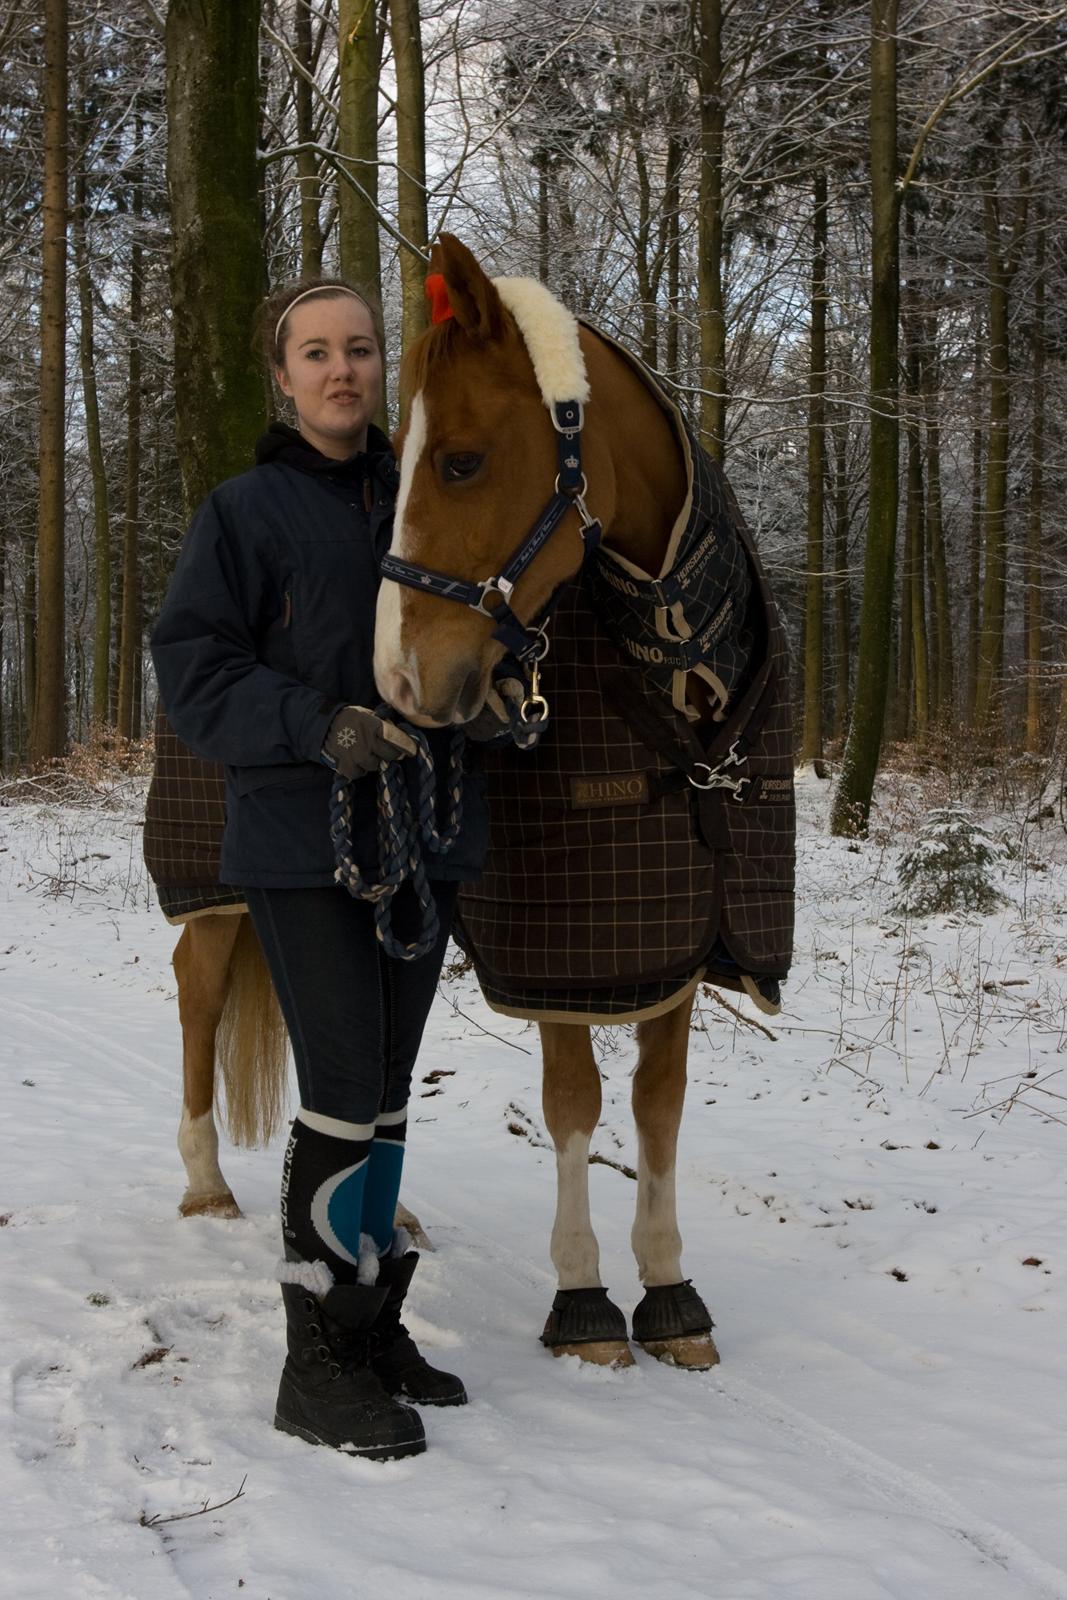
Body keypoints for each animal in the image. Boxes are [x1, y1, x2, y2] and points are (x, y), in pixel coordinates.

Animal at [374, 236, 793, 1376]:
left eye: (460, 461)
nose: (399, 678)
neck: (668, 659)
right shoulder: (563, 957)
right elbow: (573, 1106)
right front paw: (582, 1297)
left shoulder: (677, 941)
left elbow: (655, 1109)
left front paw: (669, 1288)